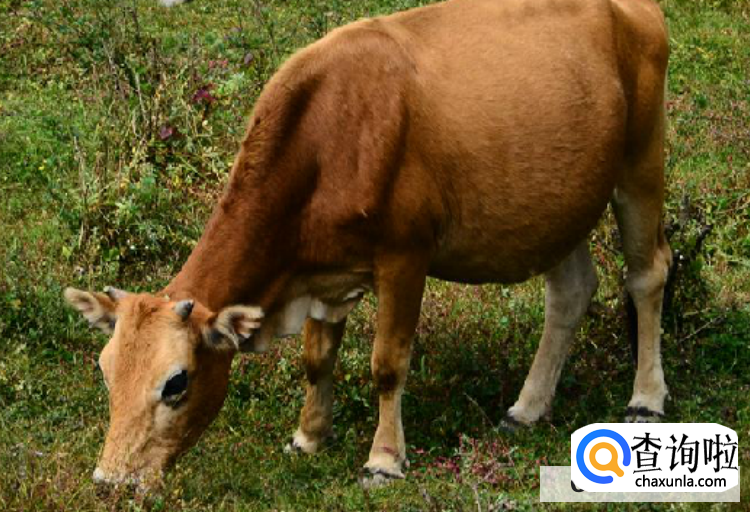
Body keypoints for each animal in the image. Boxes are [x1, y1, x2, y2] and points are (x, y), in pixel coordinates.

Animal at [66, 0, 676, 488]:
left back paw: (645, 397)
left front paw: (383, 459)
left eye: (176, 383)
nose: (110, 480)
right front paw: (309, 436)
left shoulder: (405, 254)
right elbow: (317, 357)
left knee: (648, 273)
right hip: (559, 200)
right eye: (105, 369)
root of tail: (635, 9)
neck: (328, 137)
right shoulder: (319, 268)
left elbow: (388, 363)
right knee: (571, 290)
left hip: (641, 160)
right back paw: (527, 406)